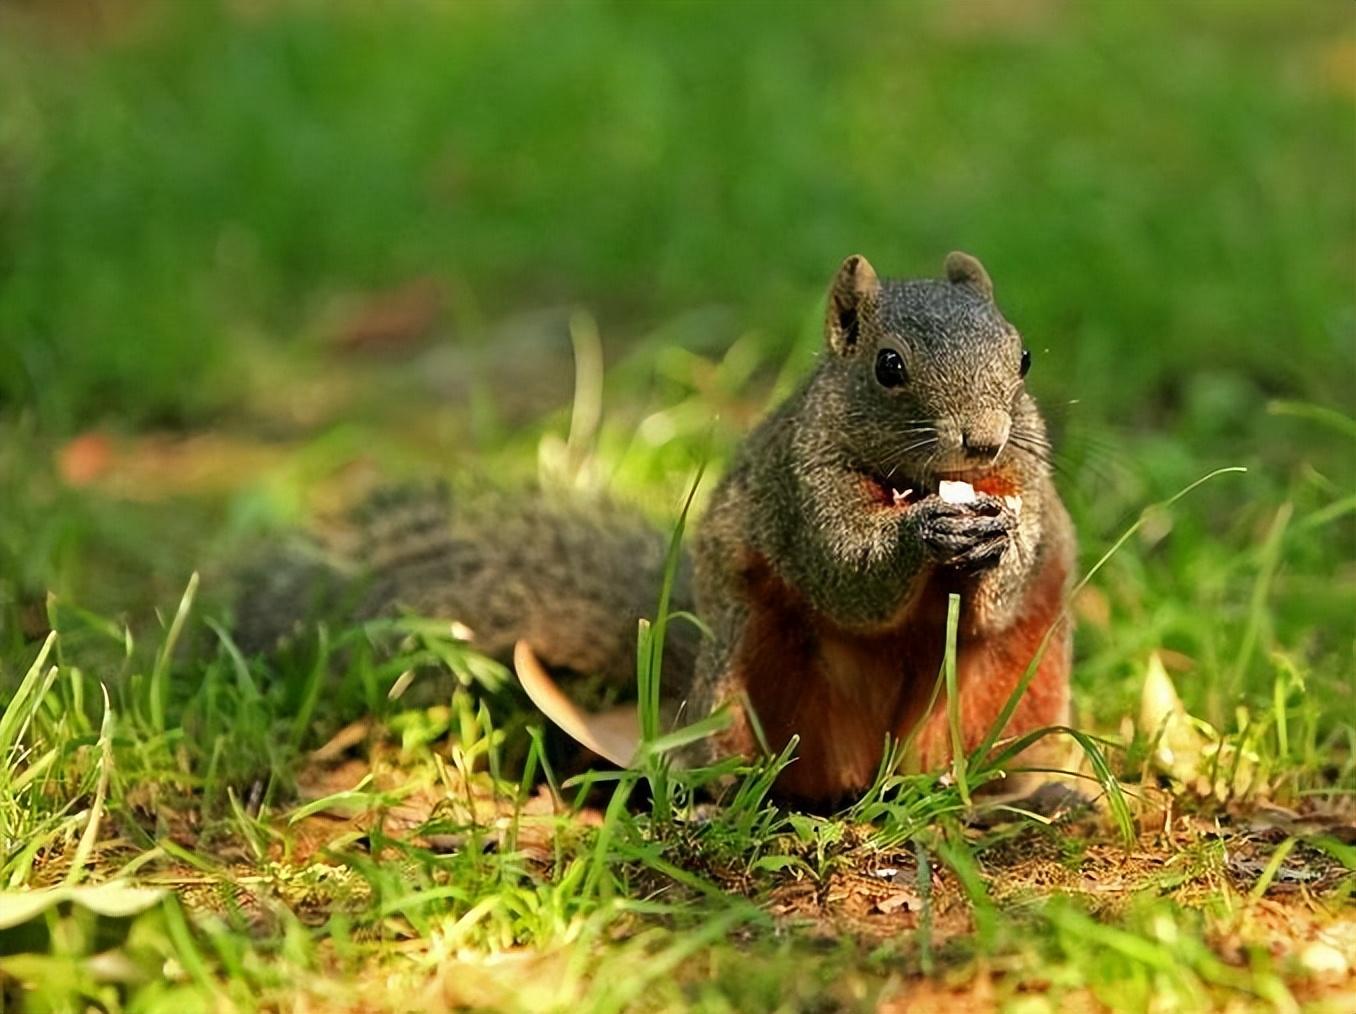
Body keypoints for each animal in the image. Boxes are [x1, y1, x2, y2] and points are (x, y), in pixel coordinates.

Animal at [235, 253, 1079, 807]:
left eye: (1024, 357)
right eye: (889, 366)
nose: (984, 442)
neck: (914, 480)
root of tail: (871, 771)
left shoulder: (1027, 488)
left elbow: (1006, 581)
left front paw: (999, 544)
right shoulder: (799, 486)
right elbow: (844, 569)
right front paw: (921, 536)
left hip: (1014, 687)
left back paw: (1032, 793)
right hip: (746, 670)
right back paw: (721, 799)